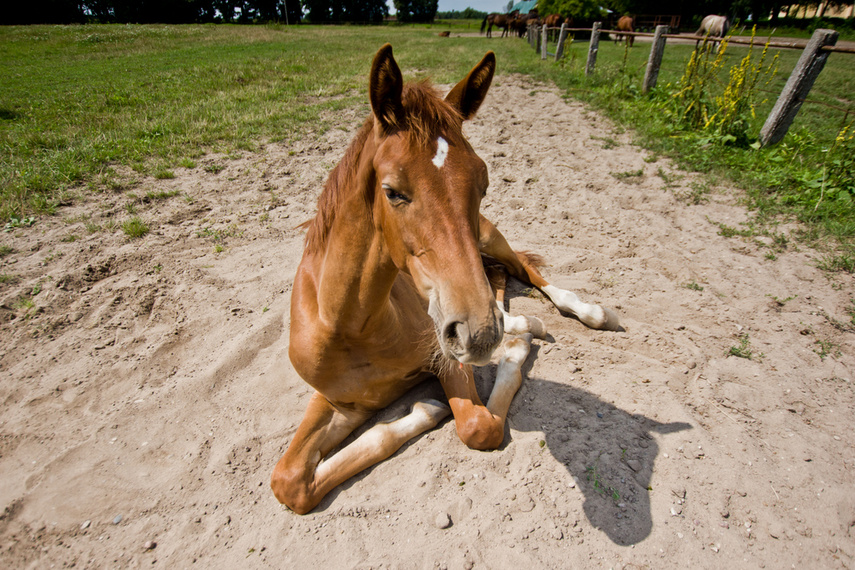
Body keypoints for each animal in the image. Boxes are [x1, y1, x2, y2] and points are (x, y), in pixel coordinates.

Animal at [270, 45, 620, 516]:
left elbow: (478, 428)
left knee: (528, 274)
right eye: (392, 191)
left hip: (491, 240)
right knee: (502, 289)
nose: (479, 333)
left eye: (484, 183)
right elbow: (290, 482)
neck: (351, 326)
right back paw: (519, 326)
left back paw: (585, 314)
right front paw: (427, 409)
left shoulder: (446, 358)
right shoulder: (340, 402)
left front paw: (509, 356)